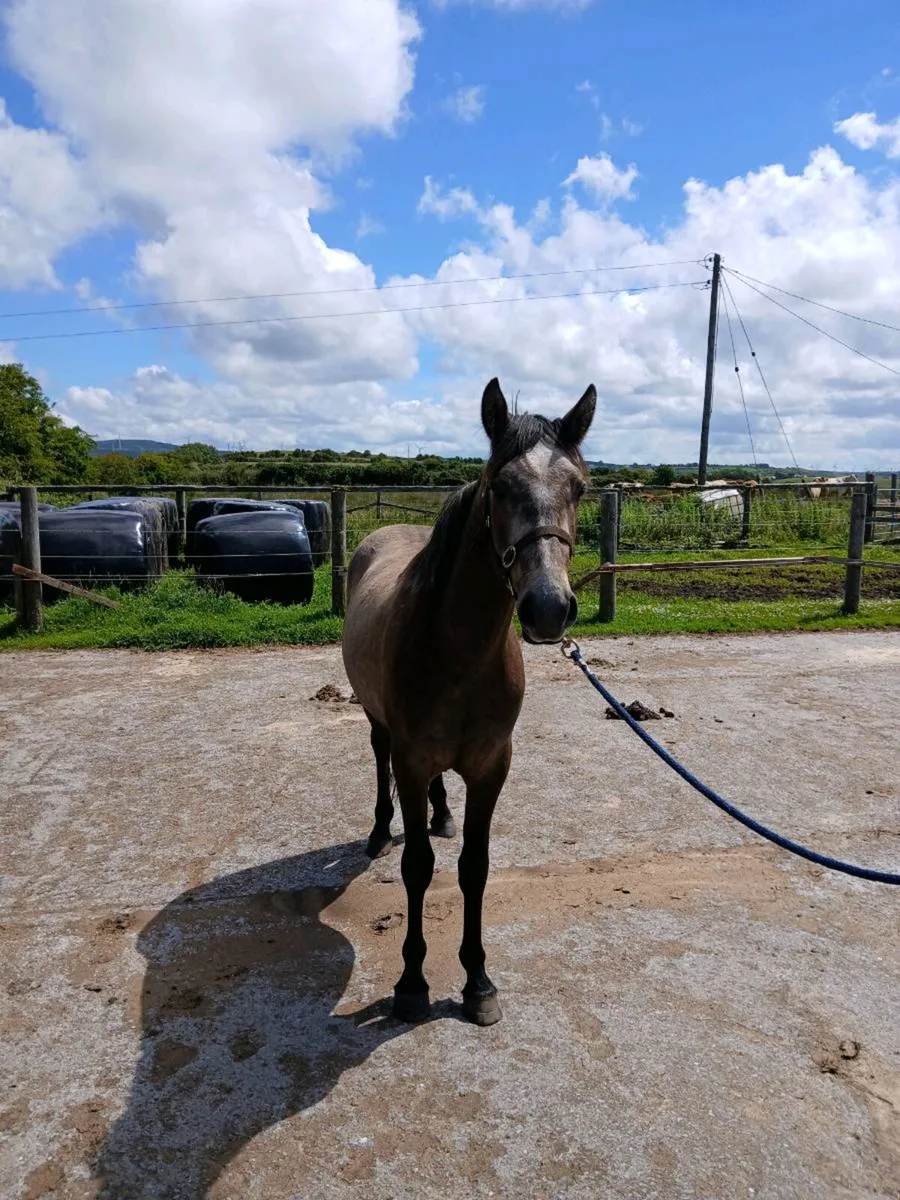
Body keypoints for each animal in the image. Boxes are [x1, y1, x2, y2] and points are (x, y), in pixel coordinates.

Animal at [342, 377, 596, 1026]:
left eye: (580, 488)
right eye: (499, 486)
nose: (548, 608)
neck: (457, 651)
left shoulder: (491, 767)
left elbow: (473, 869)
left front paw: (478, 980)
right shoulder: (409, 762)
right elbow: (417, 868)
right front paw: (411, 983)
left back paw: (442, 815)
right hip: (379, 727)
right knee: (377, 761)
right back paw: (379, 828)